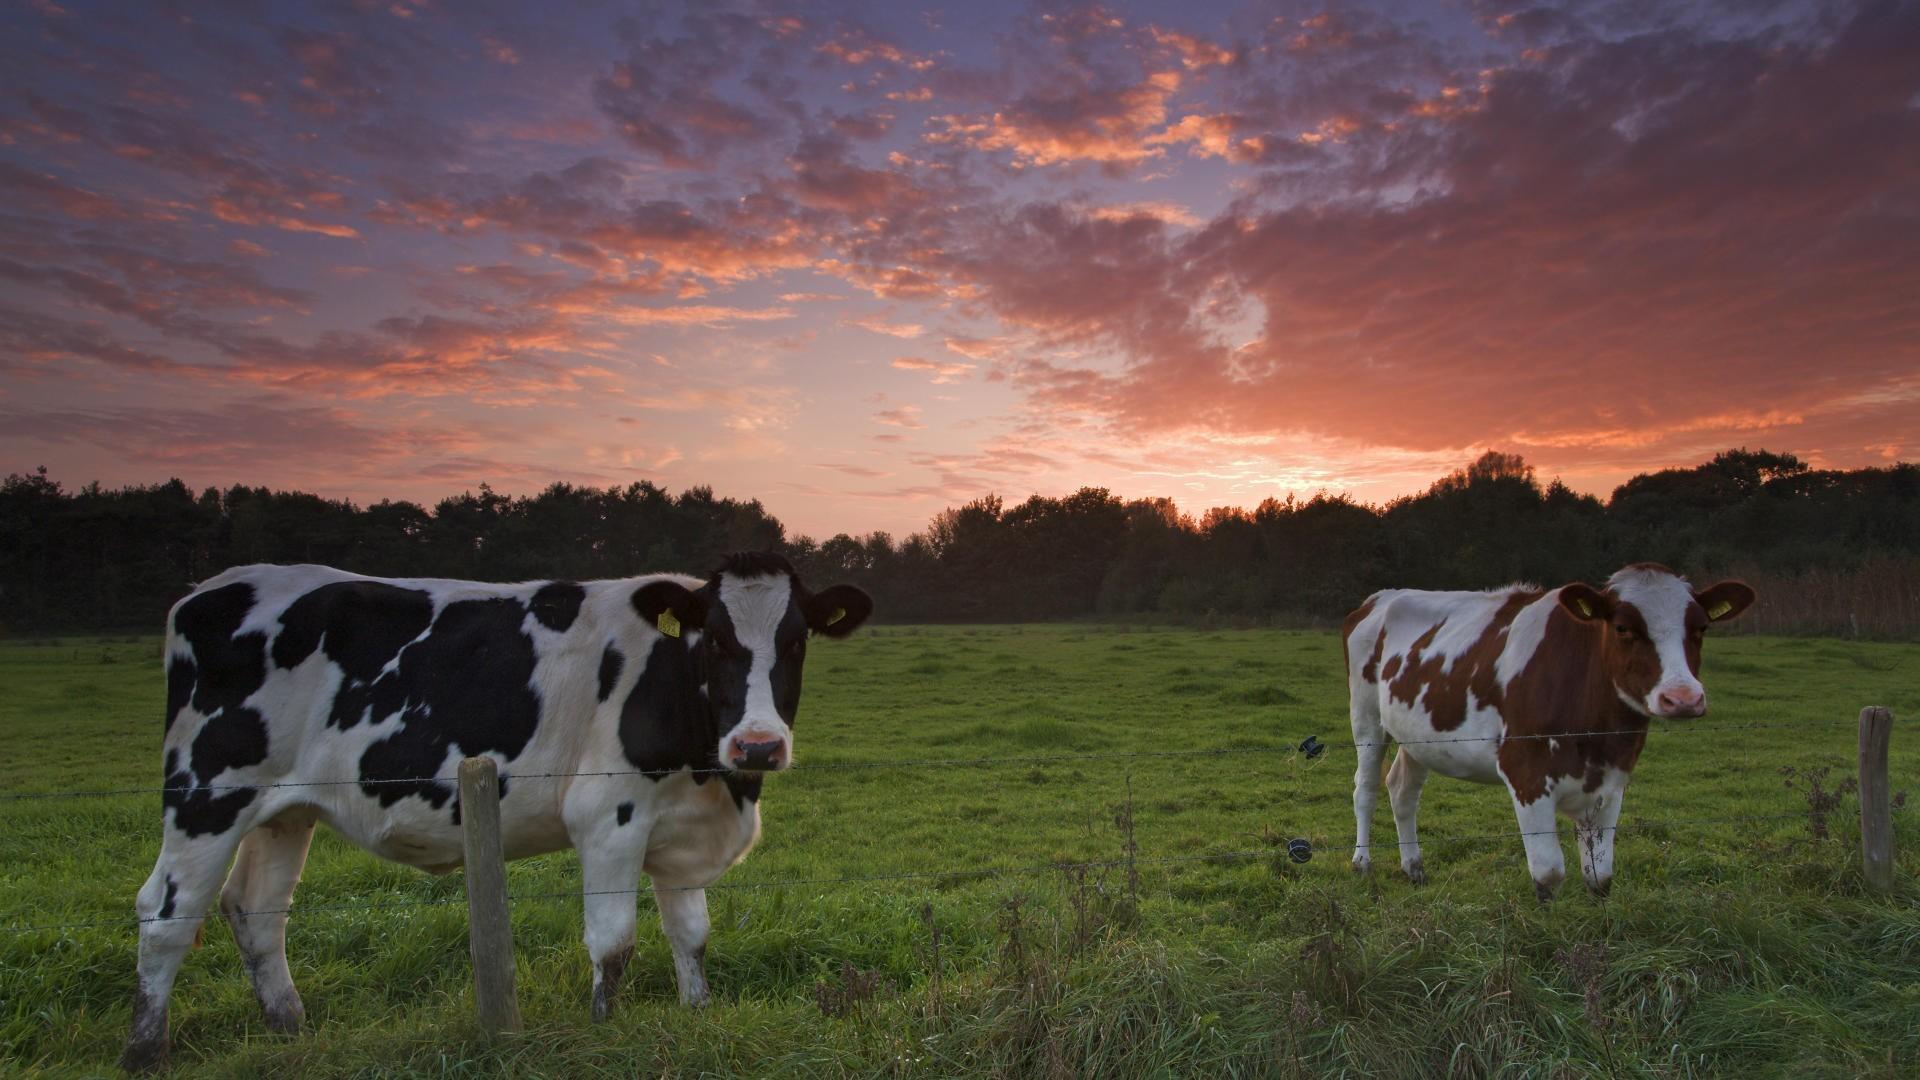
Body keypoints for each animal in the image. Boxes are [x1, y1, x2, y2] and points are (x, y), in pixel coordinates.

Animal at [121, 552, 871, 1072]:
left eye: (797, 640)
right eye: (715, 640)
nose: (758, 745)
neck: (712, 772)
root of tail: (209, 589)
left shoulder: (682, 829)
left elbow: (691, 935)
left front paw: (696, 1016)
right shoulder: (610, 817)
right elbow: (615, 945)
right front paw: (602, 1031)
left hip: (284, 810)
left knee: (255, 910)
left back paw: (289, 1030)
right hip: (207, 793)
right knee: (165, 912)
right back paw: (144, 1052)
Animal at [1342, 563, 1754, 901]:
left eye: (1700, 628)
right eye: (1622, 627)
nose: (1683, 697)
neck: (1597, 736)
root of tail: (1381, 597)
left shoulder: (1612, 781)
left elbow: (1600, 876)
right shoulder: (1526, 773)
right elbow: (1549, 874)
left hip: (1416, 734)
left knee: (1403, 792)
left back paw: (1414, 868)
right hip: (1366, 716)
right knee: (1366, 788)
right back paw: (1362, 863)